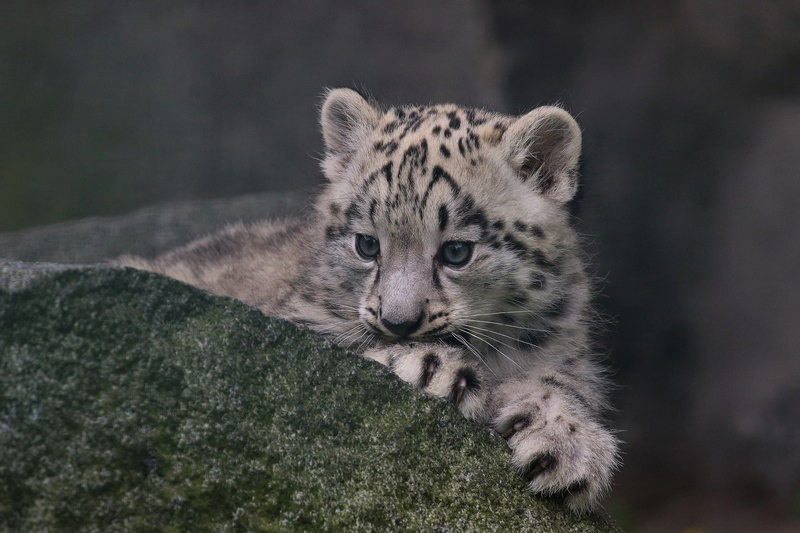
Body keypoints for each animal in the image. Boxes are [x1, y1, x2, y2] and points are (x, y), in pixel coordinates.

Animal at [118, 88, 620, 514]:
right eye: (367, 245)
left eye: (457, 251)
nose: (399, 322)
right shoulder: (295, 321)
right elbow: (338, 343)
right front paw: (433, 369)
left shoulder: (562, 344)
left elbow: (564, 382)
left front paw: (567, 447)